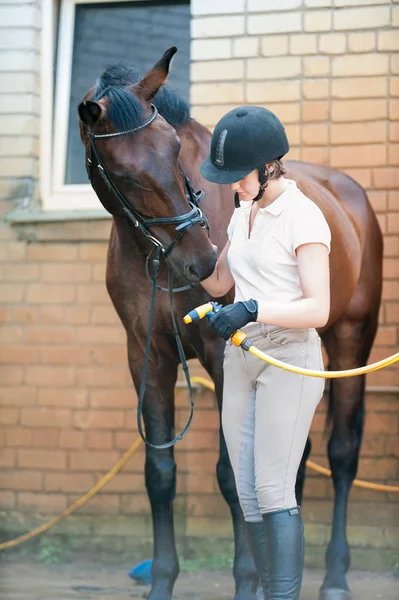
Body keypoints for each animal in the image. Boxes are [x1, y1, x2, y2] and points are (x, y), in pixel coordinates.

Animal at [78, 48, 384, 600]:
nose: (202, 260)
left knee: (342, 454)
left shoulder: (224, 358)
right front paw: (162, 582)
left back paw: (334, 577)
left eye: (175, 148)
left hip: (352, 340)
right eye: (122, 173)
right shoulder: (147, 356)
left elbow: (230, 475)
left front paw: (247, 582)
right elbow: (160, 474)